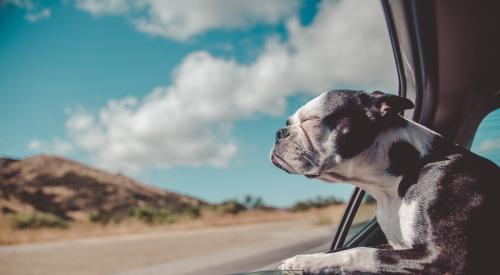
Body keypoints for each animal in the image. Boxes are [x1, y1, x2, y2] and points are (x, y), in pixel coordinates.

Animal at [272, 90, 498, 274]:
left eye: (310, 120)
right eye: (288, 123)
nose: (279, 132)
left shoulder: (442, 257)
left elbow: (357, 252)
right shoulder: (395, 245)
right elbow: (342, 250)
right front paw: (304, 260)